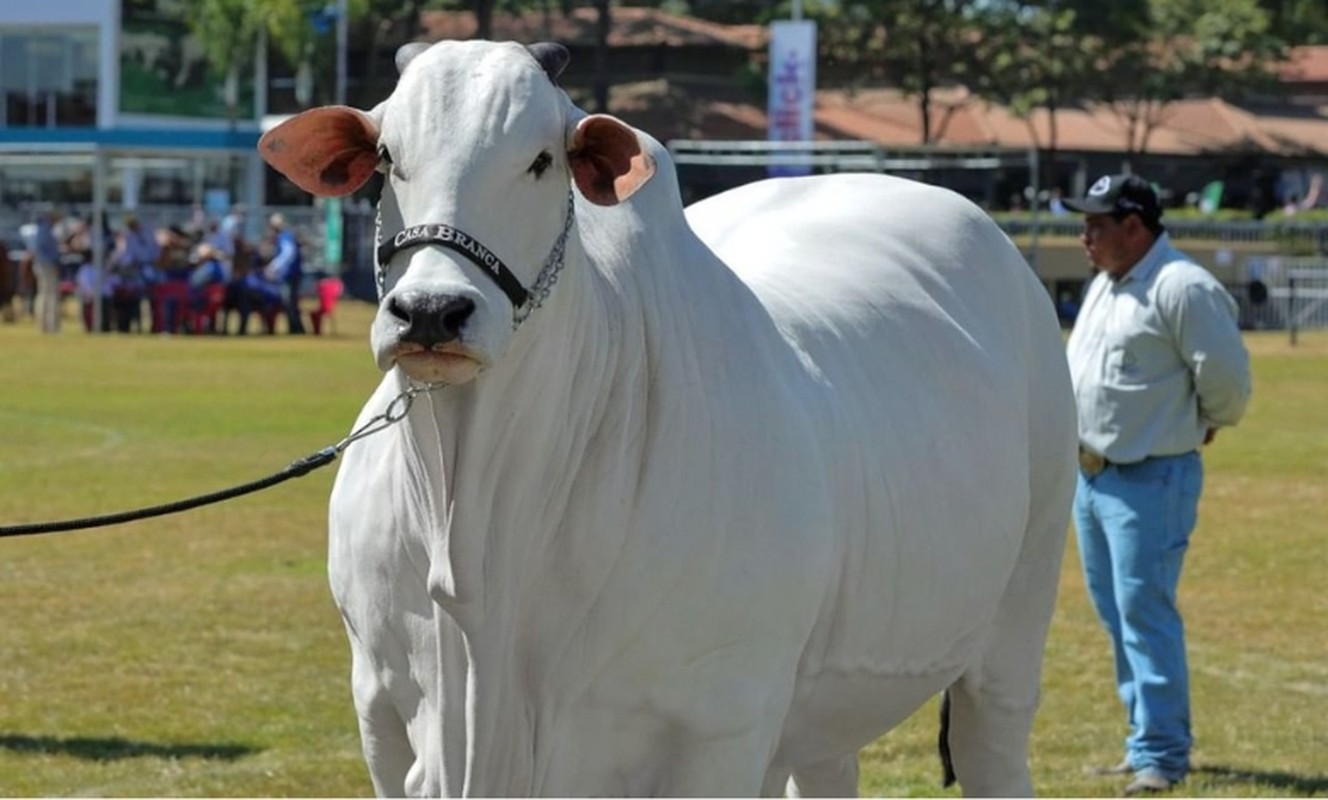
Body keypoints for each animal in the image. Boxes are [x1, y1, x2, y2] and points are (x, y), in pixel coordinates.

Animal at [258, 38, 1078, 797]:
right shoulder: (382, 718)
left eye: (542, 160)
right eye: (386, 156)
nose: (431, 311)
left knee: (994, 742)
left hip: (1018, 617)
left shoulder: (721, 727)